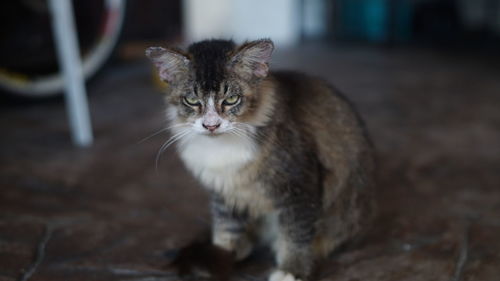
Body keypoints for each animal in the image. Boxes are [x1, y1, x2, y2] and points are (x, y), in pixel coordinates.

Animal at [145, 38, 376, 280]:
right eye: (191, 100)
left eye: (231, 99)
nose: (211, 125)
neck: (221, 146)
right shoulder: (224, 189)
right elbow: (226, 225)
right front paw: (223, 254)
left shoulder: (299, 184)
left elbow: (296, 232)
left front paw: (292, 270)